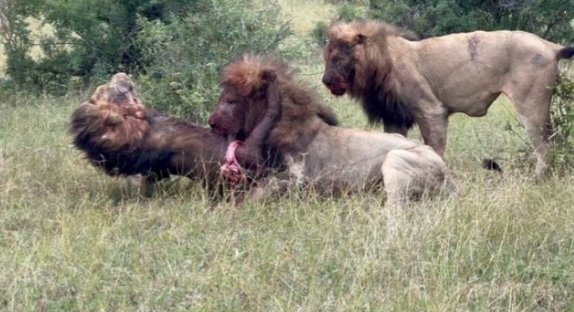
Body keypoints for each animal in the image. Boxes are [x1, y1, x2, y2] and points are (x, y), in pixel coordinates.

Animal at [209, 54, 452, 210]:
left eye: (230, 101)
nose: (211, 122)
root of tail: (446, 172)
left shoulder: (298, 179)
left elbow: (258, 193)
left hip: (395, 160)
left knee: (395, 210)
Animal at [322, 19, 574, 177]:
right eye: (326, 58)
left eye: (337, 59)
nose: (325, 80)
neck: (378, 66)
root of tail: (550, 46)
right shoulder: (394, 117)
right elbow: (392, 145)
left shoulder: (430, 110)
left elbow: (434, 148)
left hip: (531, 106)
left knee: (545, 147)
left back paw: (537, 179)